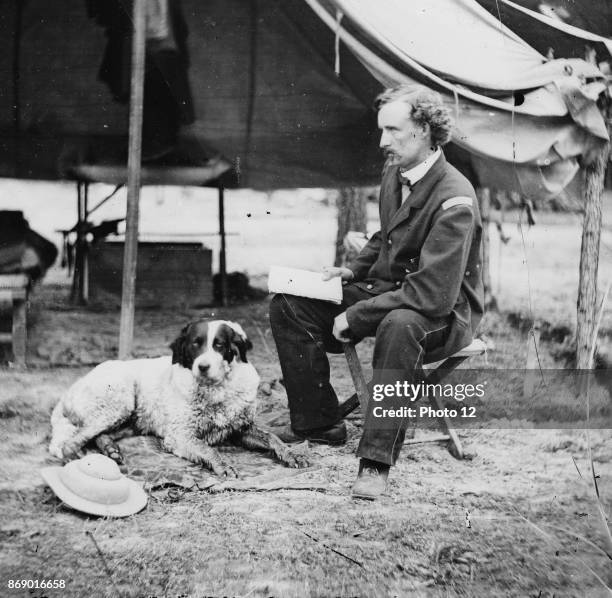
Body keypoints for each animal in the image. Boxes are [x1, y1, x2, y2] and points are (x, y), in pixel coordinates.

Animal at [48, 322, 308, 480]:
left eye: (219, 345)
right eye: (195, 343)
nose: (203, 366)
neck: (216, 391)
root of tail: (70, 390)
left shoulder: (240, 429)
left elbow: (272, 437)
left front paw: (292, 454)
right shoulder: (180, 436)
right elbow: (207, 448)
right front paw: (223, 465)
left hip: (131, 419)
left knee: (98, 435)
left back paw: (111, 450)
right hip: (119, 400)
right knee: (72, 441)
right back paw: (78, 458)